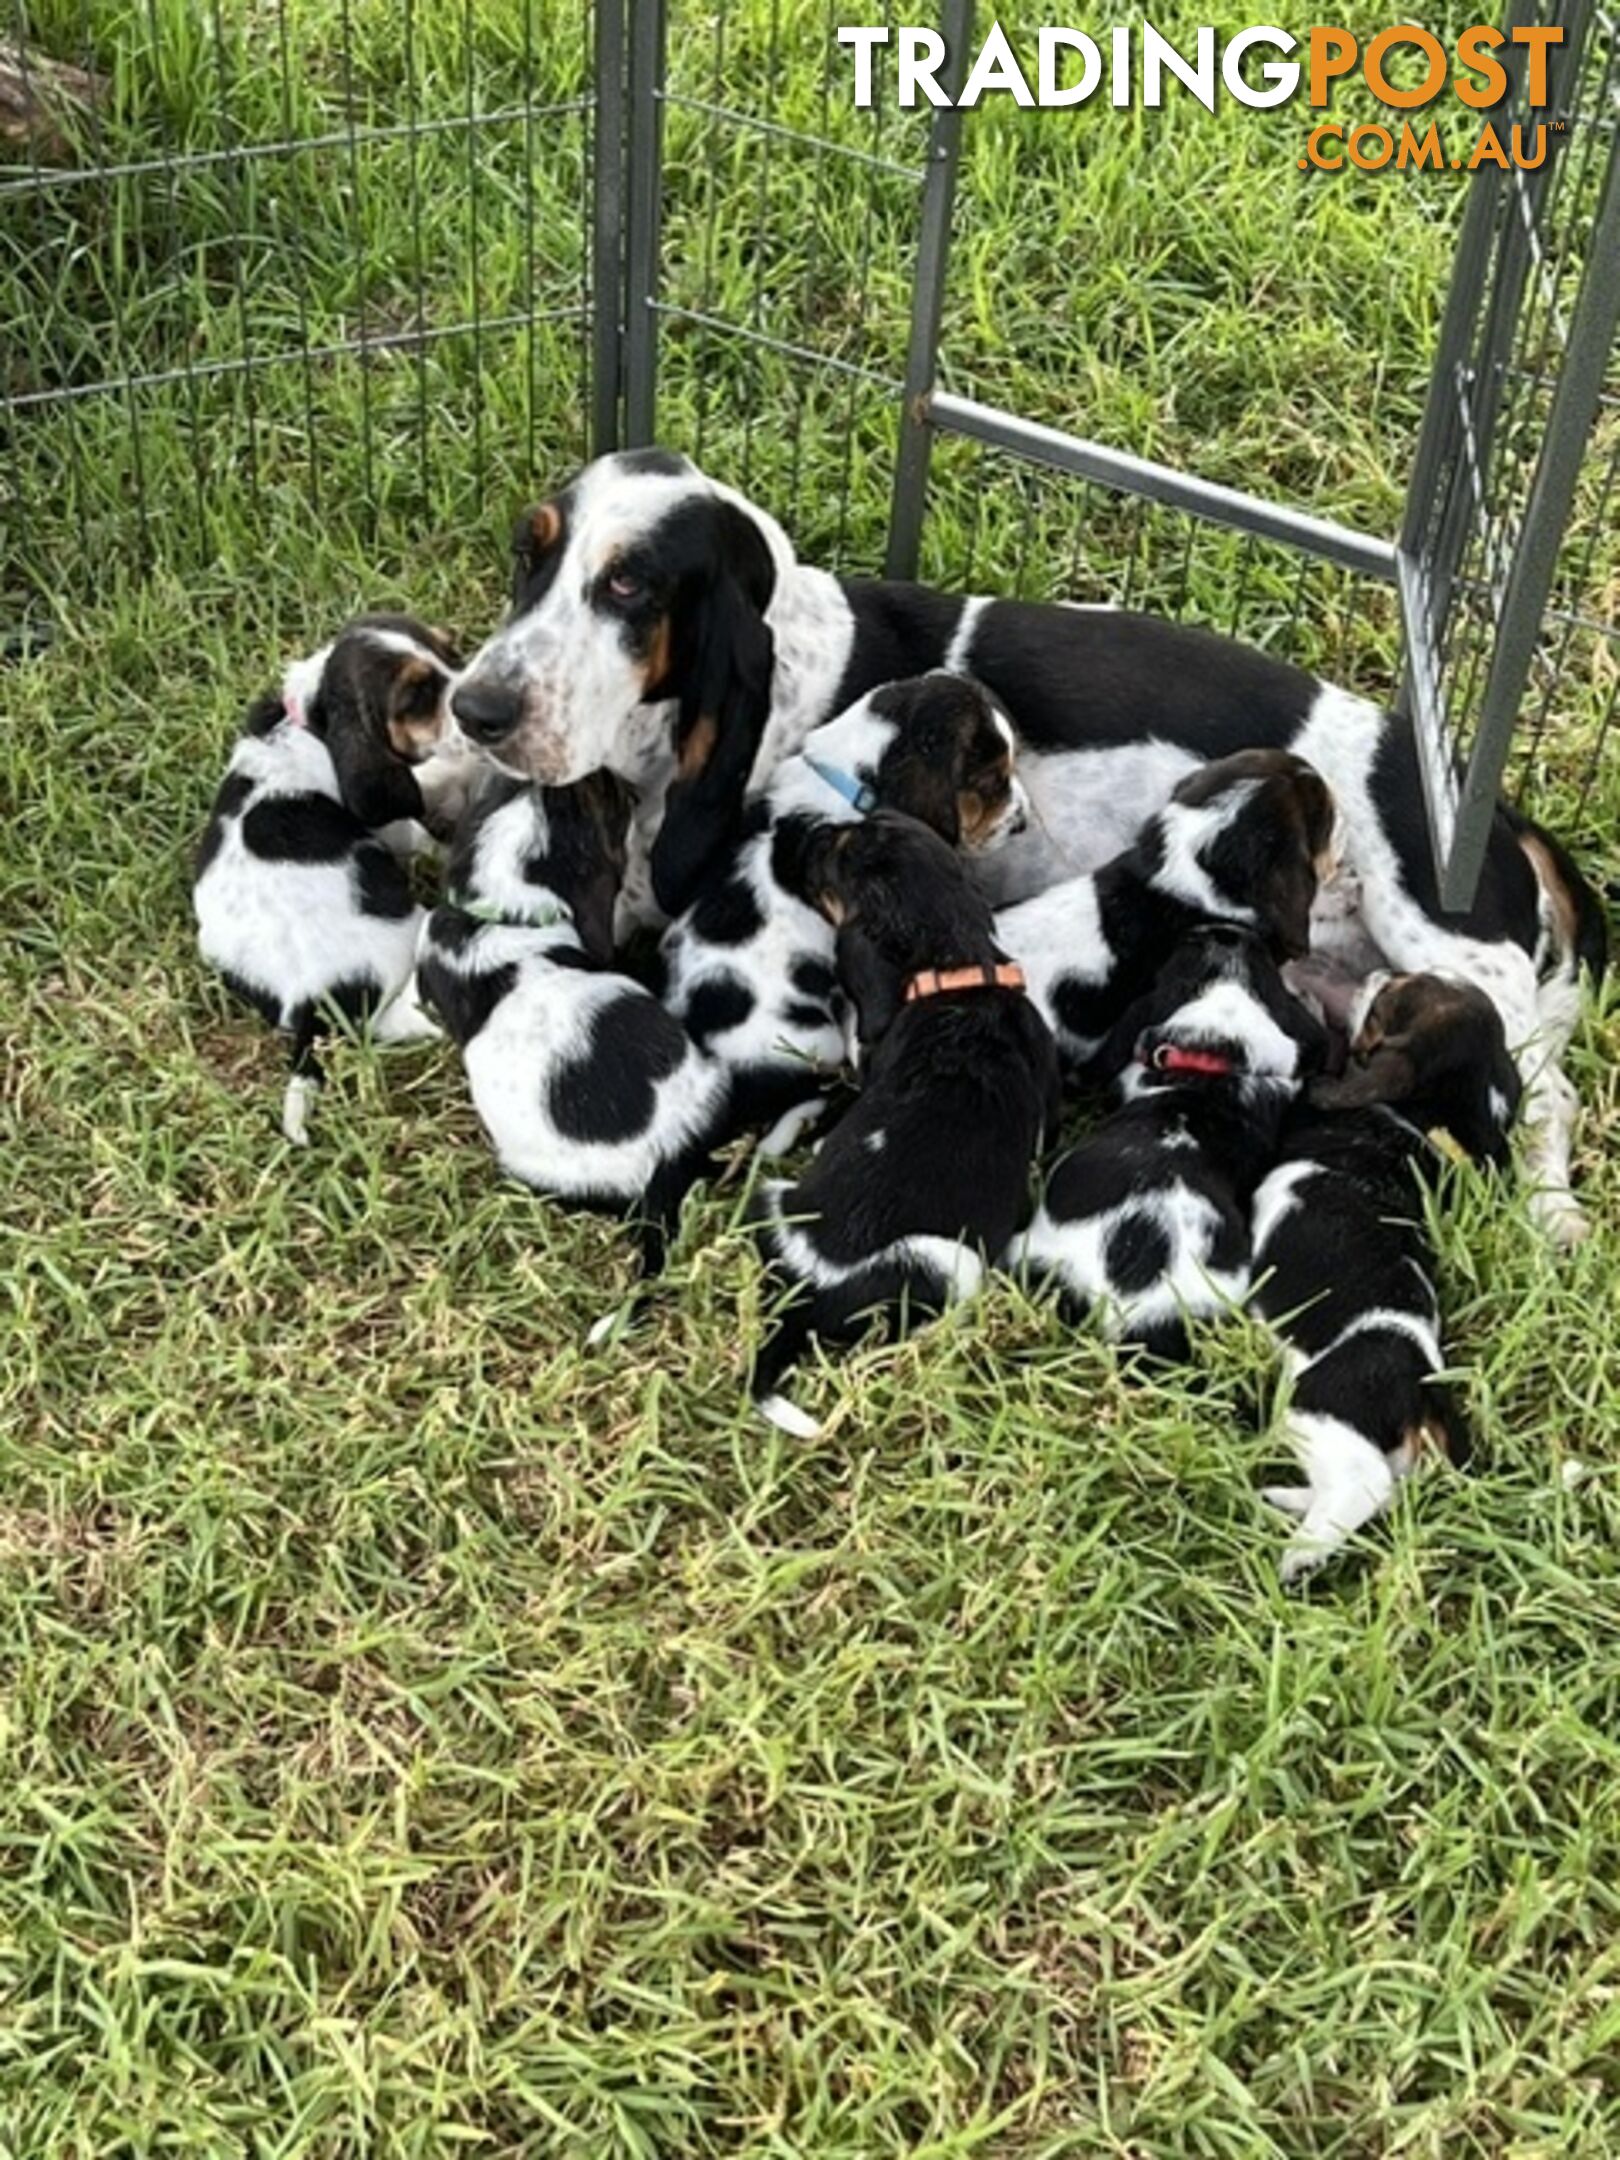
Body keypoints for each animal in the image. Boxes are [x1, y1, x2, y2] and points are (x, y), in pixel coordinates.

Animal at [195, 613, 468, 1149]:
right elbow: (427, 835)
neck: (311, 723)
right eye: (417, 696)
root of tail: (307, 1003)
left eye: (452, 652)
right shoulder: (399, 827)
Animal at [747, 812, 1067, 1434]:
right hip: (949, 1260)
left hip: (774, 1195)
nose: (804, 827)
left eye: (837, 848)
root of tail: (807, 1294)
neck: (954, 969)